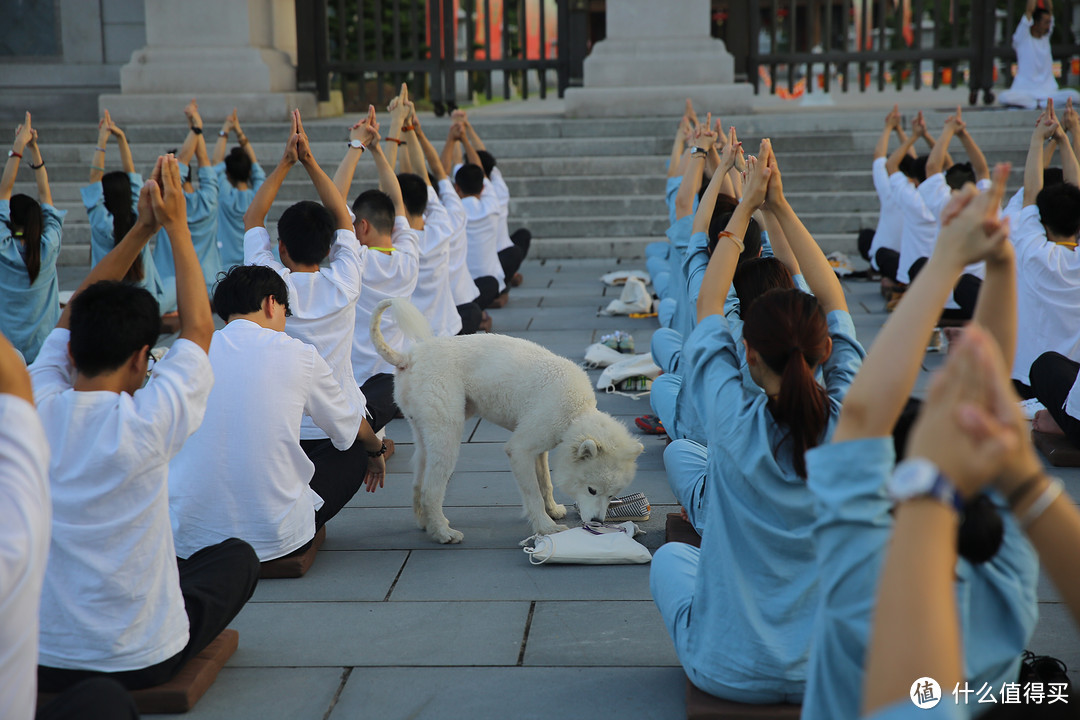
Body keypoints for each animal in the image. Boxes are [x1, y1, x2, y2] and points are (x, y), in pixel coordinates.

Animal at [371, 295, 639, 544]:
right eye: (591, 490)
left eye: (612, 495)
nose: (597, 523)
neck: (576, 411)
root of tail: (408, 358)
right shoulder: (520, 449)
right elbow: (532, 493)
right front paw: (546, 527)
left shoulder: (538, 448)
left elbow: (545, 481)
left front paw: (552, 509)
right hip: (447, 432)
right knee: (431, 490)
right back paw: (443, 532)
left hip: (425, 431)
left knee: (418, 482)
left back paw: (426, 524)